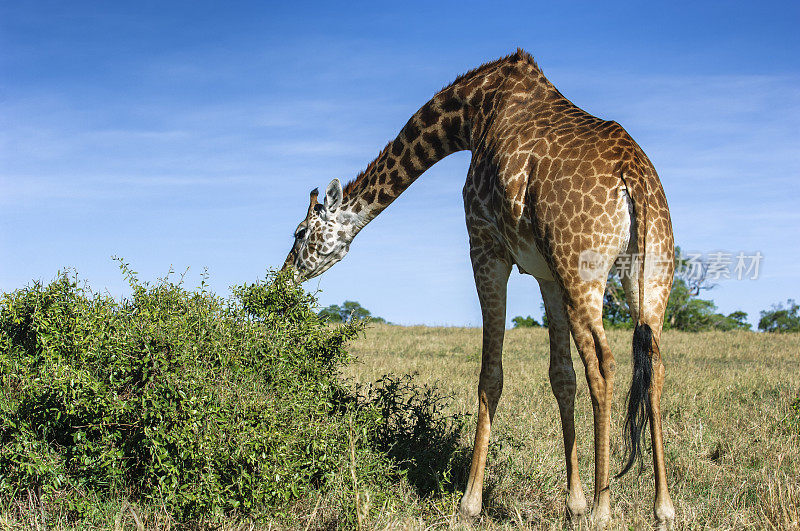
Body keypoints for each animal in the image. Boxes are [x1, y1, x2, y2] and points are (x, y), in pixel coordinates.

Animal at [282, 48, 676, 528]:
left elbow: (491, 374)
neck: (472, 115)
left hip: (582, 270)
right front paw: (573, 502)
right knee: (653, 365)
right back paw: (662, 508)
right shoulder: (545, 273)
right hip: (651, 274)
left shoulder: (485, 246)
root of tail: (633, 177)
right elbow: (560, 376)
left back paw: (604, 511)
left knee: (604, 364)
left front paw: (470, 502)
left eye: (300, 232)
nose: (282, 277)